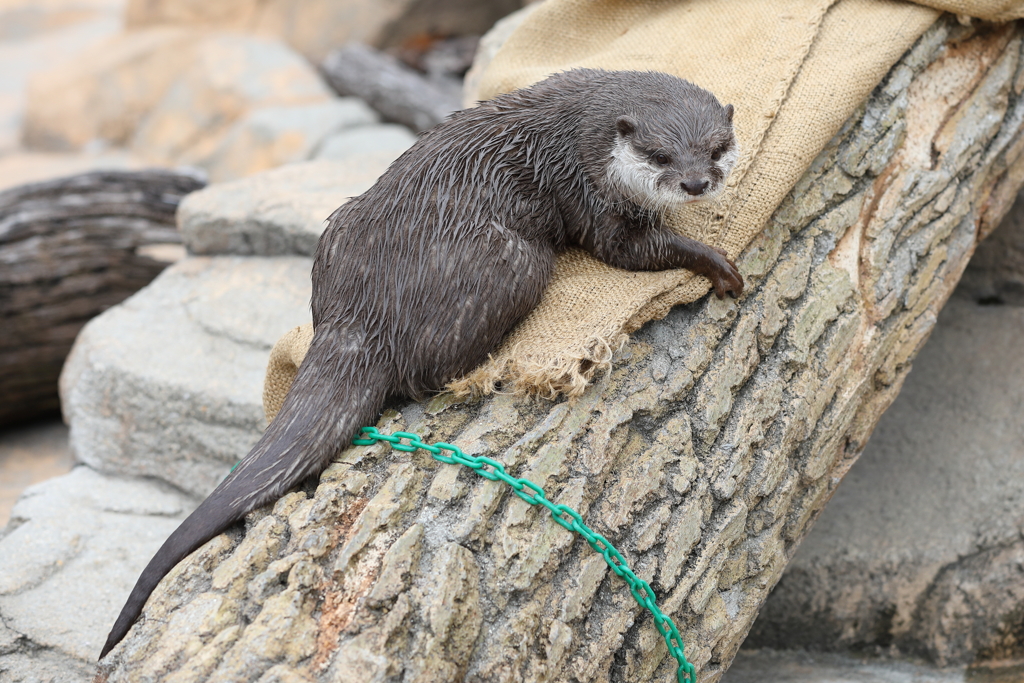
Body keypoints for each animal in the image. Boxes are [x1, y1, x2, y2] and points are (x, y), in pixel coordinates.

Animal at [99, 68, 745, 655]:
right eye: (658, 154)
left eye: (715, 146)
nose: (695, 182)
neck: (588, 131)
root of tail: (359, 314)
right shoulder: (586, 186)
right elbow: (626, 247)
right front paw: (717, 263)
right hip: (510, 259)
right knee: (426, 371)